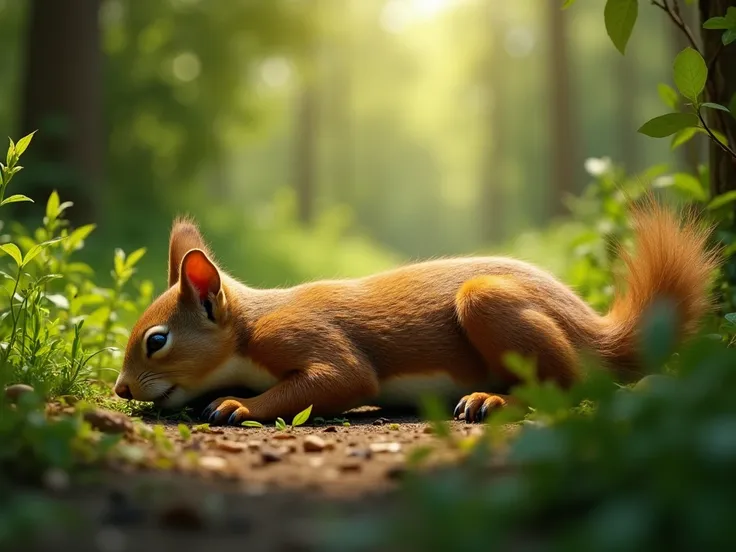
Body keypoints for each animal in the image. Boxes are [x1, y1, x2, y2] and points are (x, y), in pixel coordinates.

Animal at [113, 196, 720, 424]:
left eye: (157, 341)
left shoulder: (305, 334)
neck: (249, 327)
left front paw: (239, 404)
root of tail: (594, 331)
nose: (120, 389)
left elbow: (342, 379)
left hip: (489, 300)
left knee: (569, 385)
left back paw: (492, 399)